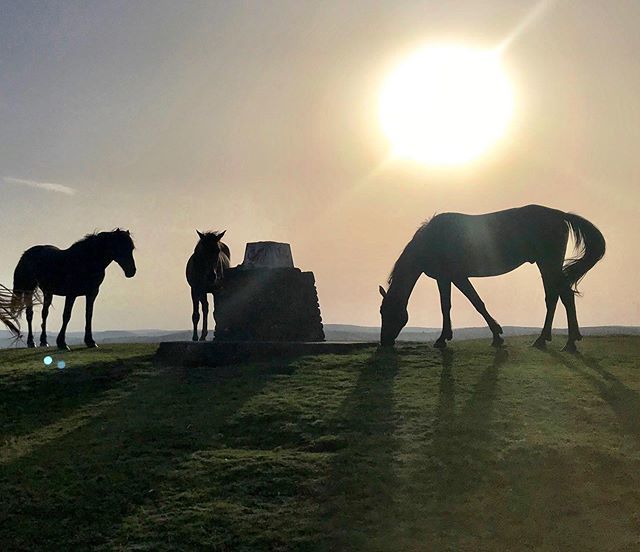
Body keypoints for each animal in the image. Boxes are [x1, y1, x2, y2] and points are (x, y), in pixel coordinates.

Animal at [379, 205, 606, 353]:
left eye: (387, 312)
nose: (384, 341)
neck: (432, 240)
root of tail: (560, 215)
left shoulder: (457, 276)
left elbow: (476, 302)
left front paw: (496, 335)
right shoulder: (445, 279)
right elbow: (447, 306)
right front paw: (445, 338)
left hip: (548, 263)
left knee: (562, 295)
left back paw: (566, 342)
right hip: (547, 266)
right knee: (555, 296)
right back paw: (548, 339)